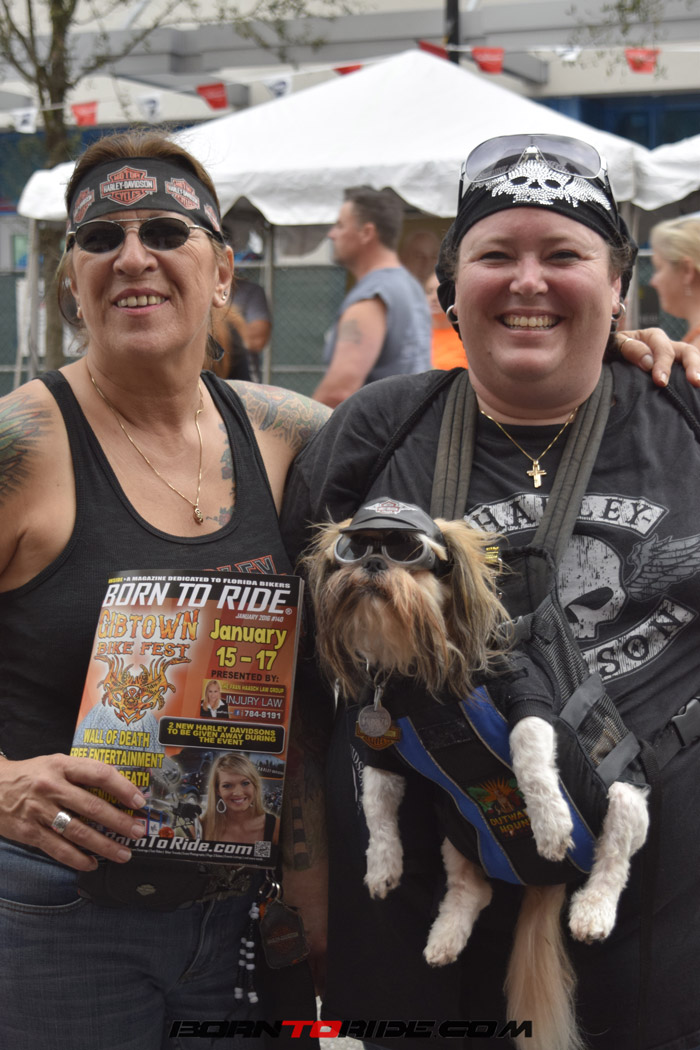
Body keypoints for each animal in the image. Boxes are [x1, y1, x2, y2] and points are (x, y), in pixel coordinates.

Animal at [304, 497, 649, 1050]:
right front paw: (382, 867)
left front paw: (551, 825)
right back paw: (445, 936)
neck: (417, 673)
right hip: (456, 825)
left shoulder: (525, 701)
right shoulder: (379, 751)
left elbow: (529, 759)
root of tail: (545, 882)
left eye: (406, 551)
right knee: (475, 889)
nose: (373, 563)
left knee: (613, 860)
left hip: (622, 799)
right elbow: (378, 813)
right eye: (353, 549)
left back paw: (591, 909)